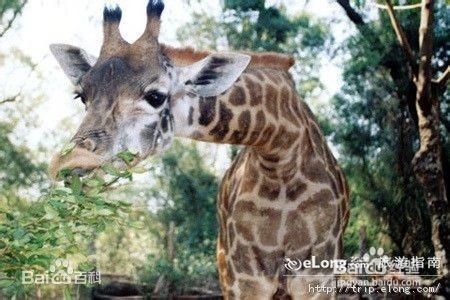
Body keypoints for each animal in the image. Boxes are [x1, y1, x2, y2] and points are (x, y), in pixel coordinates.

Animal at [48, 1, 348, 298]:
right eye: (81, 96)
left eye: (155, 96)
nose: (70, 166)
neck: (280, 158)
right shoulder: (244, 275)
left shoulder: (317, 272)